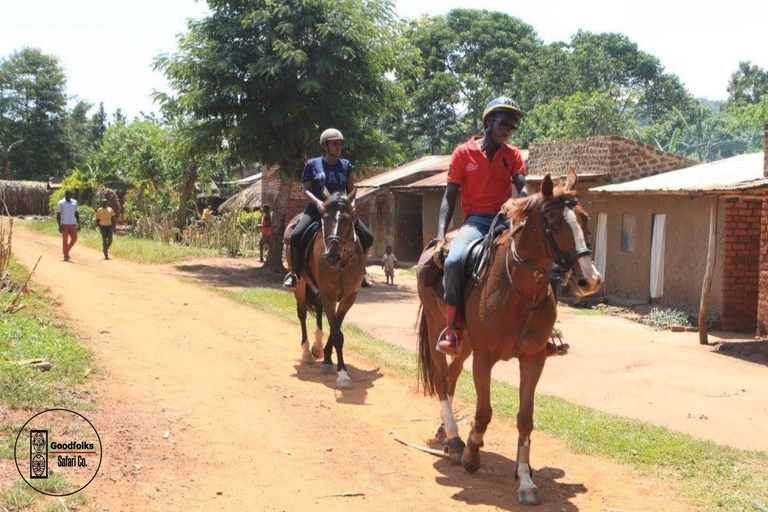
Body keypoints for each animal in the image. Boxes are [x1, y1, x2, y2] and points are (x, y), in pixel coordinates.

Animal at [288, 191, 366, 388]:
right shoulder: (329, 295)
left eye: (348, 219)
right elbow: (337, 332)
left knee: (318, 308)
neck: (342, 264)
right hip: (300, 285)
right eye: (324, 218)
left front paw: (328, 359)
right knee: (302, 313)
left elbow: (335, 326)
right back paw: (307, 352)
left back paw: (317, 347)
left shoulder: (349, 297)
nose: (331, 255)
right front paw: (342, 374)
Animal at [416, 171, 604, 504]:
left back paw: (445, 432)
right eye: (553, 224)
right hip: (440, 331)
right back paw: (455, 440)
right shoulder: (484, 358)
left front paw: (526, 480)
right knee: (440, 379)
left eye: (584, 218)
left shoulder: (534, 358)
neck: (519, 290)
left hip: (463, 343)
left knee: (451, 376)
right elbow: (484, 412)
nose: (589, 280)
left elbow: (525, 418)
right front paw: (472, 455)